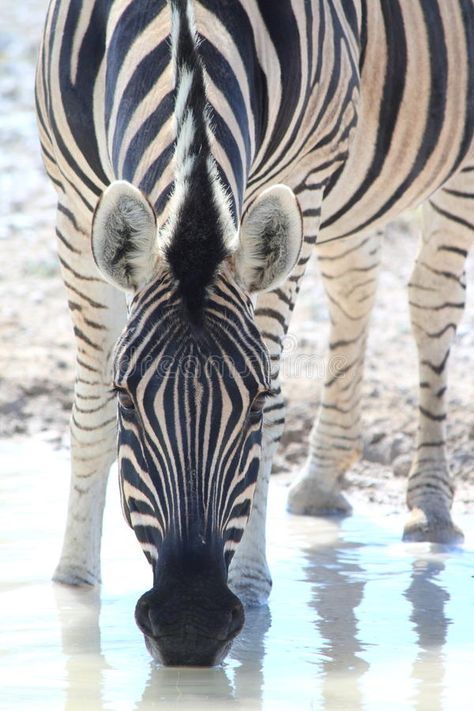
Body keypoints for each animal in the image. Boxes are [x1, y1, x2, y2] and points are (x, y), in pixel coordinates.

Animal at [35, 0, 472, 668]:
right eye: (126, 397)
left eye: (258, 399)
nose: (190, 627)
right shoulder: (73, 201)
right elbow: (87, 418)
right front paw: (74, 589)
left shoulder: (304, 177)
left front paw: (252, 582)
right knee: (356, 282)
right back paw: (321, 481)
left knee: (431, 300)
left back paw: (430, 505)